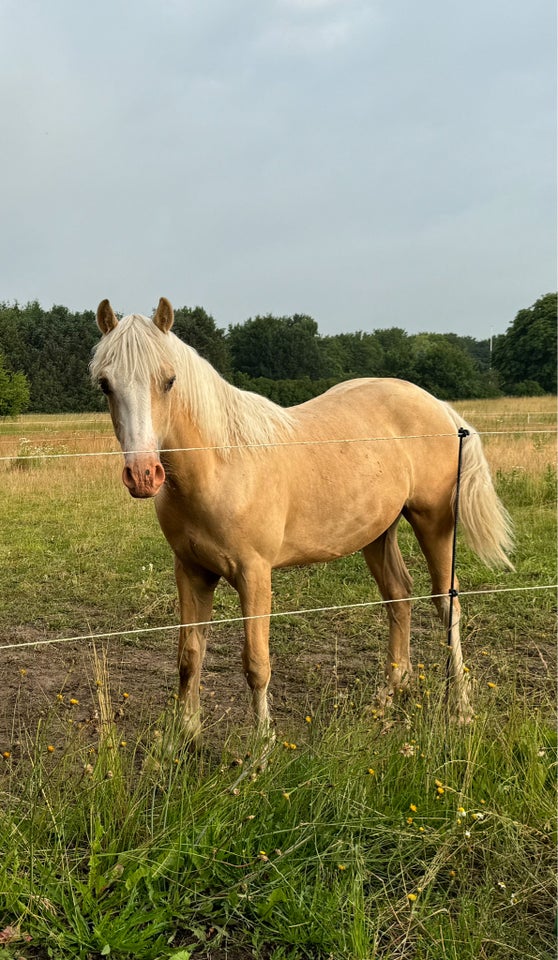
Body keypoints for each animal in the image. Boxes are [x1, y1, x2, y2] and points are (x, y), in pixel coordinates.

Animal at [92, 296, 516, 740]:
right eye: (105, 384)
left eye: (169, 380)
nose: (143, 474)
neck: (221, 465)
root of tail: (441, 408)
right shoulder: (191, 571)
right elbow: (189, 655)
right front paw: (184, 740)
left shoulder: (254, 574)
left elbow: (256, 664)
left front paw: (262, 745)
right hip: (378, 532)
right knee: (398, 596)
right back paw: (385, 700)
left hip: (433, 522)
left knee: (447, 603)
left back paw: (461, 709)